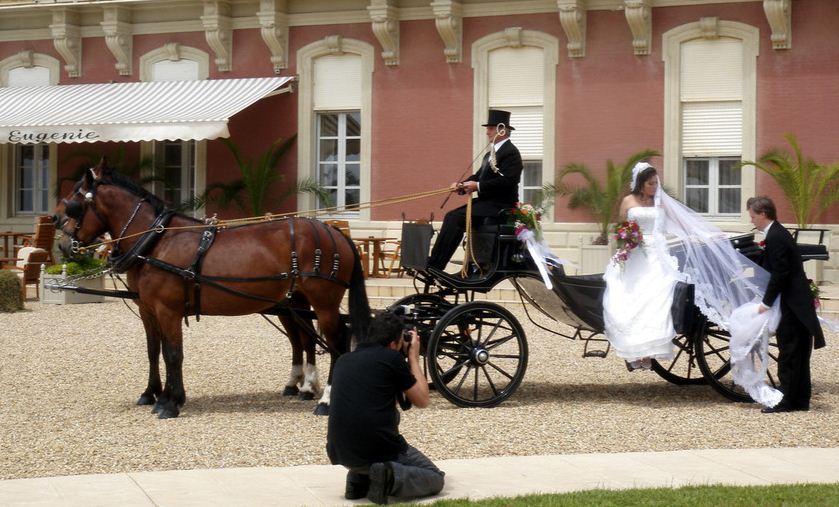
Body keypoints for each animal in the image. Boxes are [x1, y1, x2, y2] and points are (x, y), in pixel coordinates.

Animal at [52, 161, 368, 418]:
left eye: (74, 204)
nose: (63, 244)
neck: (155, 242)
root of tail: (335, 231)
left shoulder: (168, 310)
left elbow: (173, 353)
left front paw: (171, 402)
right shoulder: (148, 309)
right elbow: (154, 350)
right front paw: (153, 394)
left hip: (324, 302)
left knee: (337, 342)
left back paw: (325, 401)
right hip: (295, 302)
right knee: (305, 339)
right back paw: (305, 387)